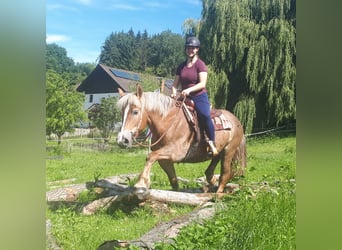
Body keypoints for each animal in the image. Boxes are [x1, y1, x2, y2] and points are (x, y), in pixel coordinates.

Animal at [117, 85, 246, 196]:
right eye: (122, 112)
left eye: (135, 111)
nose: (122, 140)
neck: (169, 123)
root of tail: (236, 120)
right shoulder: (165, 160)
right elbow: (173, 180)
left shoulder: (176, 153)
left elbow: (150, 156)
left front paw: (141, 184)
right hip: (219, 152)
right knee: (211, 171)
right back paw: (211, 184)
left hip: (229, 151)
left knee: (225, 173)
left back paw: (218, 193)